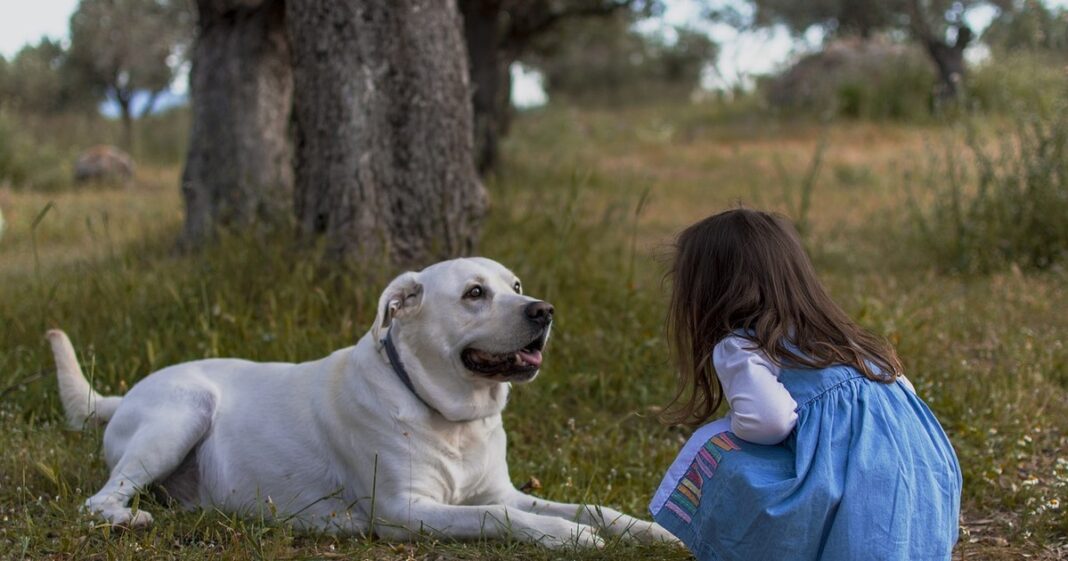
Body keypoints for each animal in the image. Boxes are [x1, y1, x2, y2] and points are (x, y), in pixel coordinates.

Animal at [50, 257, 674, 547]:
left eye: (515, 286)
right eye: (475, 293)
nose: (543, 311)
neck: (451, 417)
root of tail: (123, 395)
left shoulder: (502, 489)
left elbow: (590, 507)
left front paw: (649, 531)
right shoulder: (405, 511)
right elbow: (498, 517)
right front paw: (567, 538)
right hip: (183, 411)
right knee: (98, 500)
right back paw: (127, 518)